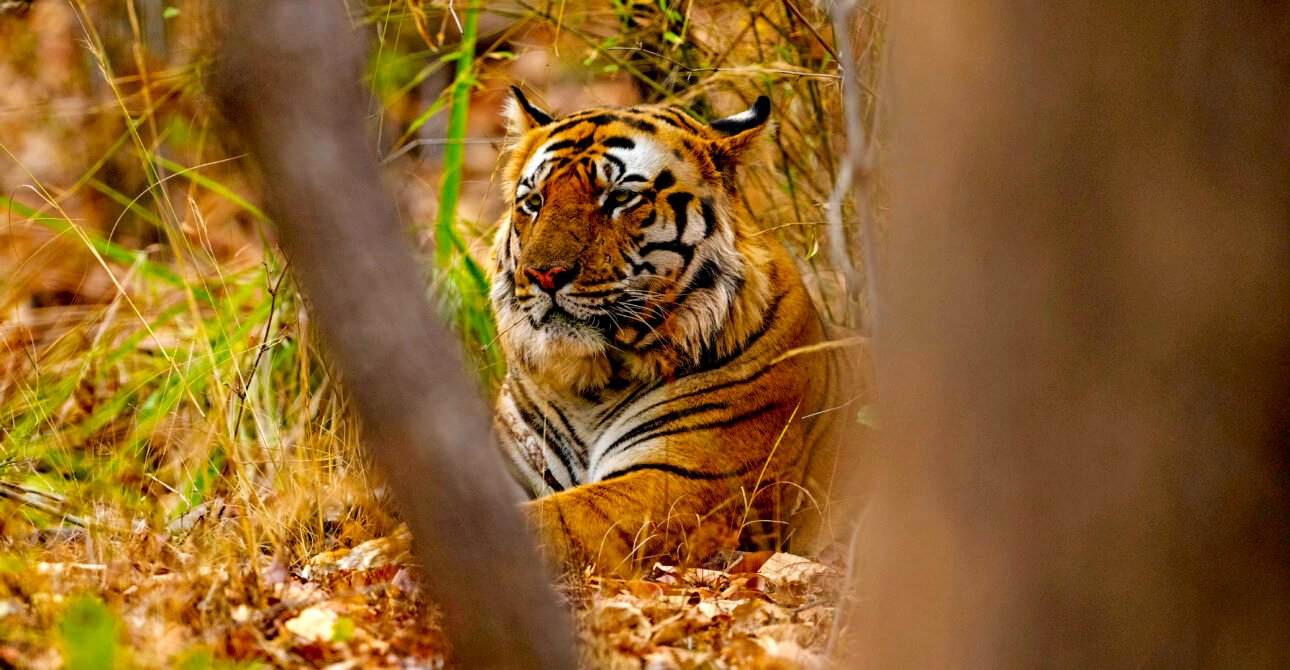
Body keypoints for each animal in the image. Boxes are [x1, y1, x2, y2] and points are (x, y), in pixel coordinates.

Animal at [489, 87, 870, 573]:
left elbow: (542, 522)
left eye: (619, 198)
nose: (544, 274)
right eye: (535, 202)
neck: (587, 384)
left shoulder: (676, 482)